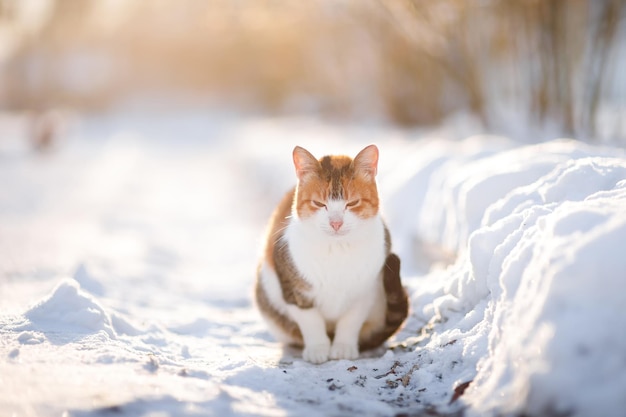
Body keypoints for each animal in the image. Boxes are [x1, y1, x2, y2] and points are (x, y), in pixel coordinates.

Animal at [255, 145, 410, 362]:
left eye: (352, 203)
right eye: (319, 204)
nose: (336, 223)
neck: (337, 249)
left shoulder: (365, 290)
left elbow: (350, 321)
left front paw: (343, 347)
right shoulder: (294, 289)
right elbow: (310, 321)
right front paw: (318, 348)